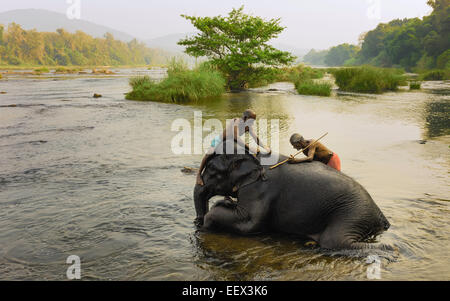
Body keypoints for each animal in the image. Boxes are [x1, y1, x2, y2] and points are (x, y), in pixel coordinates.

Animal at [193, 139, 390, 250]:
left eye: (212, 170)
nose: (197, 223)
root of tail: (381, 216)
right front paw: (224, 202)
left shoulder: (260, 189)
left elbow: (249, 223)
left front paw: (208, 222)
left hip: (352, 213)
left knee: (335, 241)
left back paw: (389, 247)